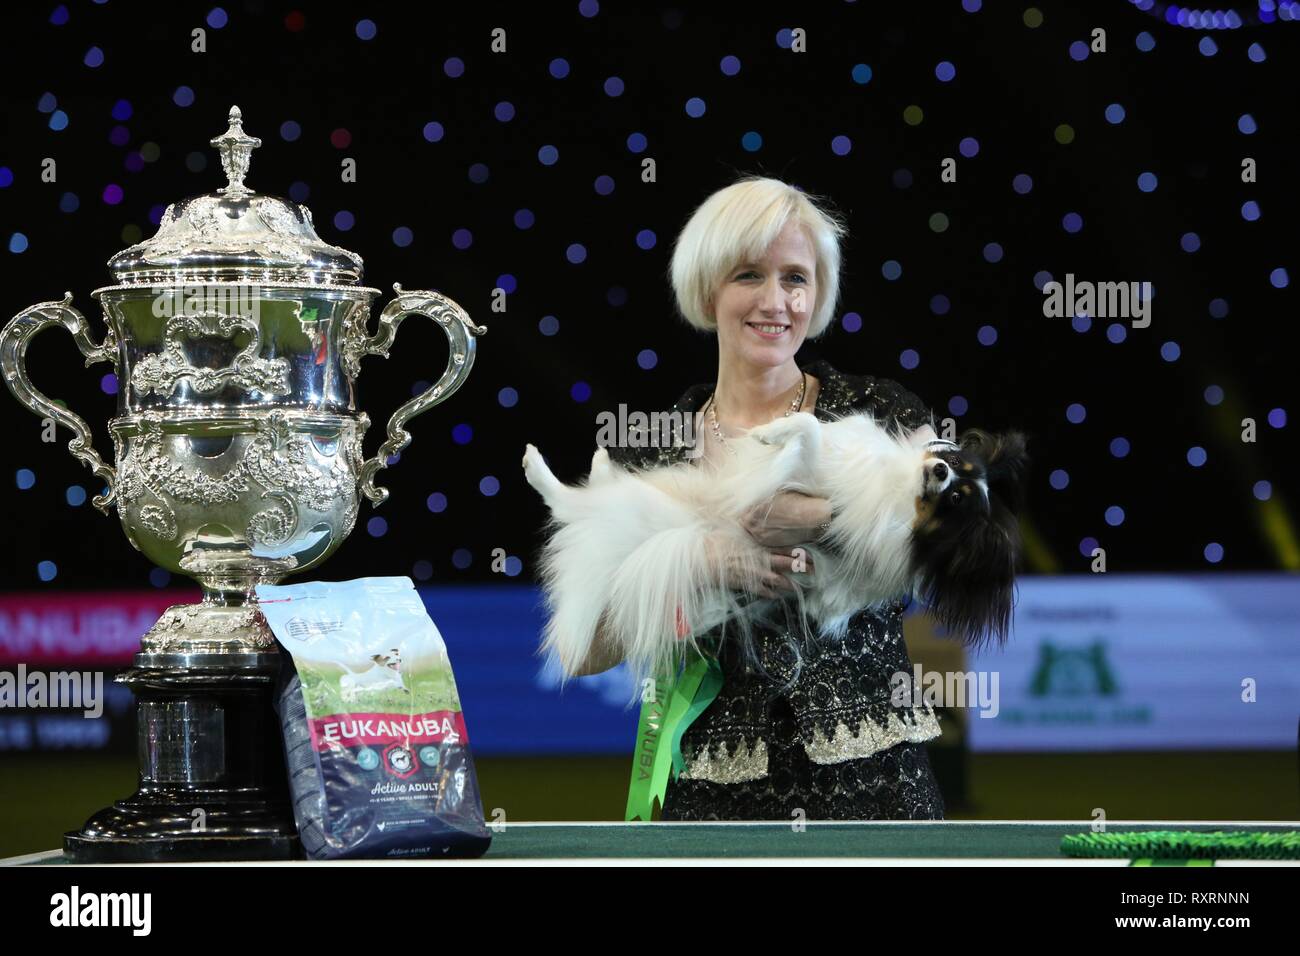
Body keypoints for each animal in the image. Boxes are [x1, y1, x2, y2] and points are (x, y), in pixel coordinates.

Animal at [522, 411, 1029, 686]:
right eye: (955, 461)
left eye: (957, 500)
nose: (941, 470)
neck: (901, 491)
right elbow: (816, 433)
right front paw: (774, 432)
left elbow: (809, 431)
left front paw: (772, 431)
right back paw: (597, 462)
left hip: (636, 514)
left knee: (572, 504)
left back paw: (538, 468)